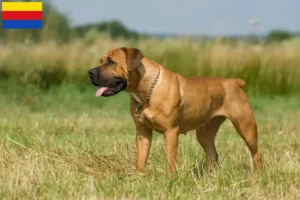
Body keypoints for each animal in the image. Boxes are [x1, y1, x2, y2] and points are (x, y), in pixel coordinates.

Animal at [88, 47, 262, 173]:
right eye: (101, 61)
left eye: (111, 62)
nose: (90, 72)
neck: (147, 90)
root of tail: (233, 81)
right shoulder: (142, 132)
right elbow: (141, 159)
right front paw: (138, 178)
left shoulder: (170, 132)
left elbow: (171, 160)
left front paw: (172, 179)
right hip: (204, 132)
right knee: (213, 154)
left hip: (245, 126)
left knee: (256, 153)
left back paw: (257, 177)